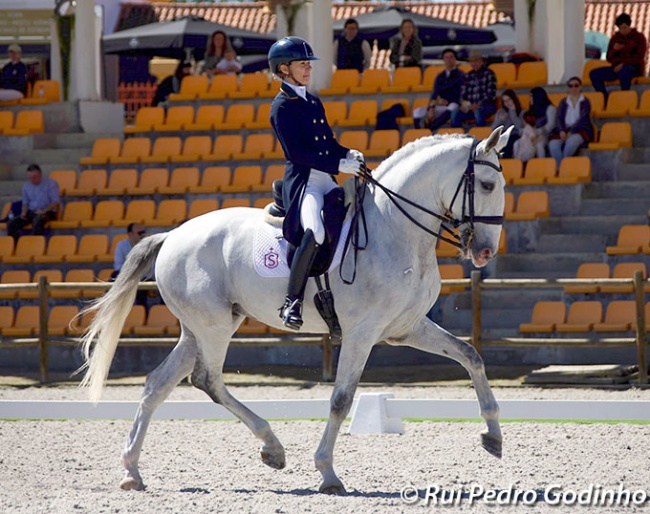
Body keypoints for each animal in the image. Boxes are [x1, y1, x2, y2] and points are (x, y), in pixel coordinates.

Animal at [79, 126, 512, 494]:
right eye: (487, 185)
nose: (485, 252)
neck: (394, 231)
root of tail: (172, 235)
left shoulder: (407, 328)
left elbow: (471, 356)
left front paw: (493, 436)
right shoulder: (362, 334)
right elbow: (341, 399)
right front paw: (328, 473)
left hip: (200, 328)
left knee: (158, 383)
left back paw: (132, 471)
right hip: (213, 327)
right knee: (208, 380)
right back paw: (272, 448)